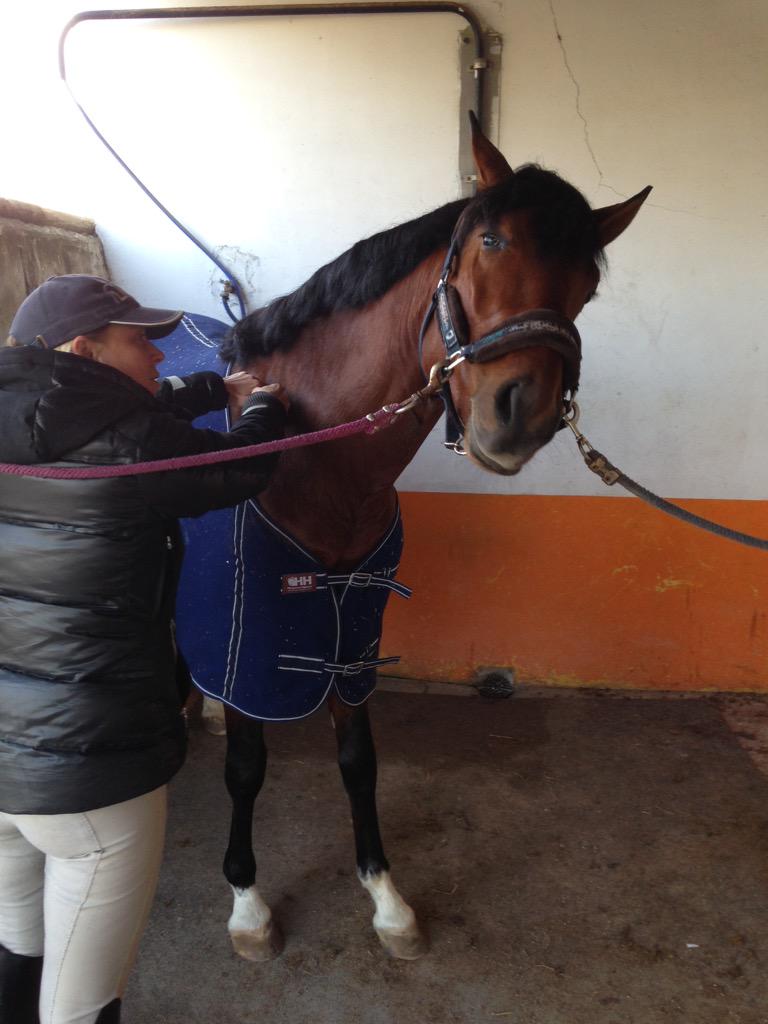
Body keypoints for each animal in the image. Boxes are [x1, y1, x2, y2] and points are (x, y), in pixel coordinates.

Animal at [167, 114, 650, 963]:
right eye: (490, 240)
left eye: (587, 286)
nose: (520, 413)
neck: (306, 447)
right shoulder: (247, 635)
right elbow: (247, 767)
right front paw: (248, 905)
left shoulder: (354, 630)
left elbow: (360, 761)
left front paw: (385, 899)